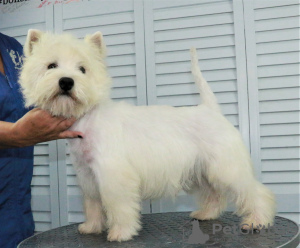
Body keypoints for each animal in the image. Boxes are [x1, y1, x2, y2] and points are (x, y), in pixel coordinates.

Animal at [19, 30, 276, 241]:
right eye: (51, 66)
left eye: (82, 69)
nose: (66, 82)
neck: (87, 117)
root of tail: (211, 109)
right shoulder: (88, 175)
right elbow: (92, 203)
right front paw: (91, 227)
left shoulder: (114, 175)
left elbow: (118, 205)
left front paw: (121, 233)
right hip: (203, 169)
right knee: (214, 193)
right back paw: (206, 213)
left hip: (226, 166)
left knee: (253, 190)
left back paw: (257, 220)